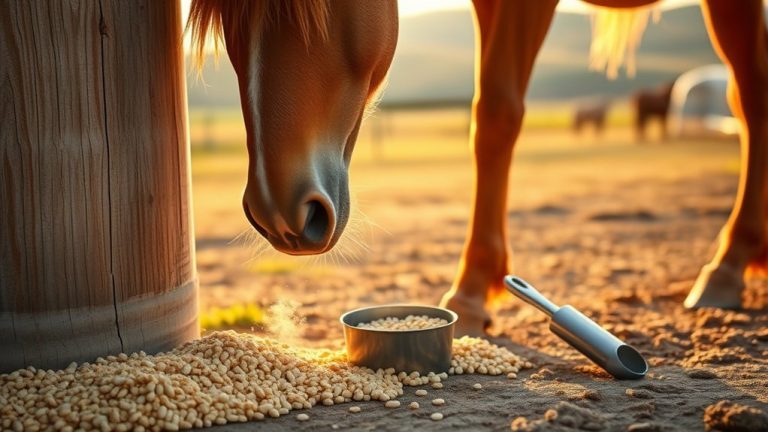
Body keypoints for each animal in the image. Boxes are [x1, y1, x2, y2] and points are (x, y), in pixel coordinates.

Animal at [188, 0, 768, 336]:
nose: (276, 213)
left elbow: (498, 113)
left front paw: (471, 289)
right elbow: (487, 112)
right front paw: (471, 288)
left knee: (748, 95)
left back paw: (727, 267)